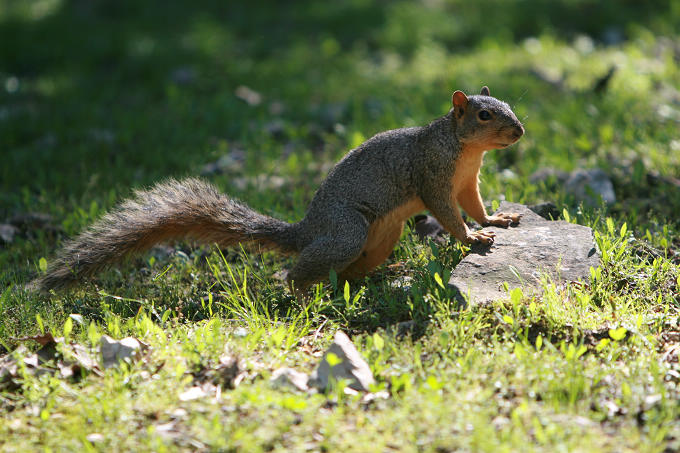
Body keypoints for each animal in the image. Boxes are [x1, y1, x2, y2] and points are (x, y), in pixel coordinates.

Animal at [33, 86, 524, 298]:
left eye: (508, 104)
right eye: (483, 115)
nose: (519, 130)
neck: (464, 150)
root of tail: (306, 229)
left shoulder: (467, 180)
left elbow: (473, 205)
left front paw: (493, 220)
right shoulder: (433, 175)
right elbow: (448, 212)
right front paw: (472, 237)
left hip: (382, 235)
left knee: (346, 271)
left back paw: (379, 275)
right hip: (348, 230)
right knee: (302, 271)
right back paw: (299, 291)